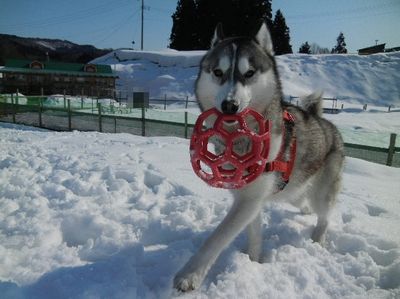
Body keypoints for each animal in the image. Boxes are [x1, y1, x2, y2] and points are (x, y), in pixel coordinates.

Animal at [173, 24, 346, 292]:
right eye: (218, 72)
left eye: (249, 73)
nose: (229, 105)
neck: (242, 141)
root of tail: (325, 122)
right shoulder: (249, 196)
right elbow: (254, 233)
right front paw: (254, 261)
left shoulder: (251, 198)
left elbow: (217, 237)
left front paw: (190, 274)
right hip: (293, 189)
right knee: (303, 202)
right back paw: (306, 213)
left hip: (323, 191)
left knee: (325, 215)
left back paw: (317, 240)